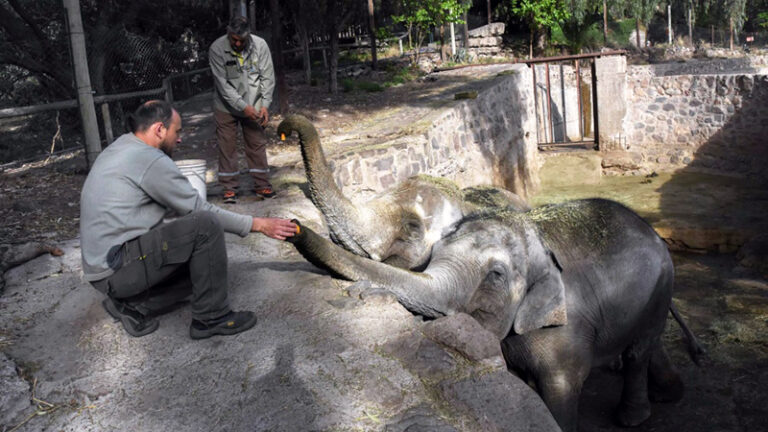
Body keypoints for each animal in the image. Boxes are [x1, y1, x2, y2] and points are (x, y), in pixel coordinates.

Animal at [284, 199, 704, 432]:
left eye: (495, 276)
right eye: (433, 254)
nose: (292, 225)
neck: (534, 235)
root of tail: (653, 231)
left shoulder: (566, 330)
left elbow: (562, 385)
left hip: (660, 287)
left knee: (639, 351)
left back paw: (632, 418)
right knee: (645, 346)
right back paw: (669, 394)